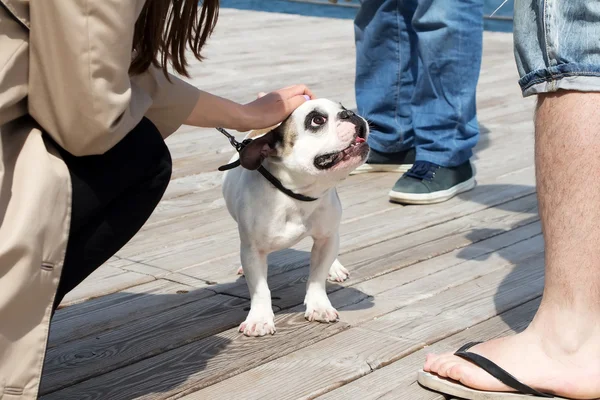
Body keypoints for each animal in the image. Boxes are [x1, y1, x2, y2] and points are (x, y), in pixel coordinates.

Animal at [223, 98, 368, 336]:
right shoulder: (253, 251)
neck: (296, 193)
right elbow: (260, 289)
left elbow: (317, 276)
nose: (350, 114)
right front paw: (260, 319)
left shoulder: (326, 239)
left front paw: (319, 305)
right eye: (317, 120)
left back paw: (335, 267)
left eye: (343, 108)